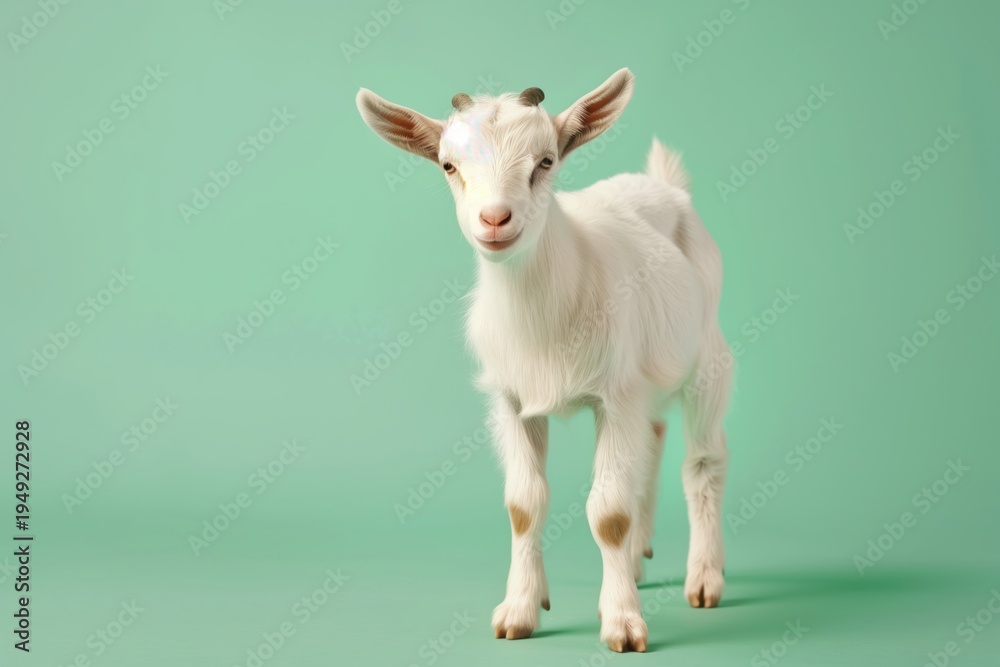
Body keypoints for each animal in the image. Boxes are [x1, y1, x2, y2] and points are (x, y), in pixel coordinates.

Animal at [356, 68, 732, 653]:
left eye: (546, 161)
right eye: (448, 165)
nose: (494, 219)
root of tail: (663, 184)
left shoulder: (614, 395)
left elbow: (609, 513)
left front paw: (622, 623)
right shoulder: (511, 400)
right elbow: (524, 505)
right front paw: (519, 610)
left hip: (707, 357)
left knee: (703, 461)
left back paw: (705, 580)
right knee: (653, 438)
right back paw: (638, 562)